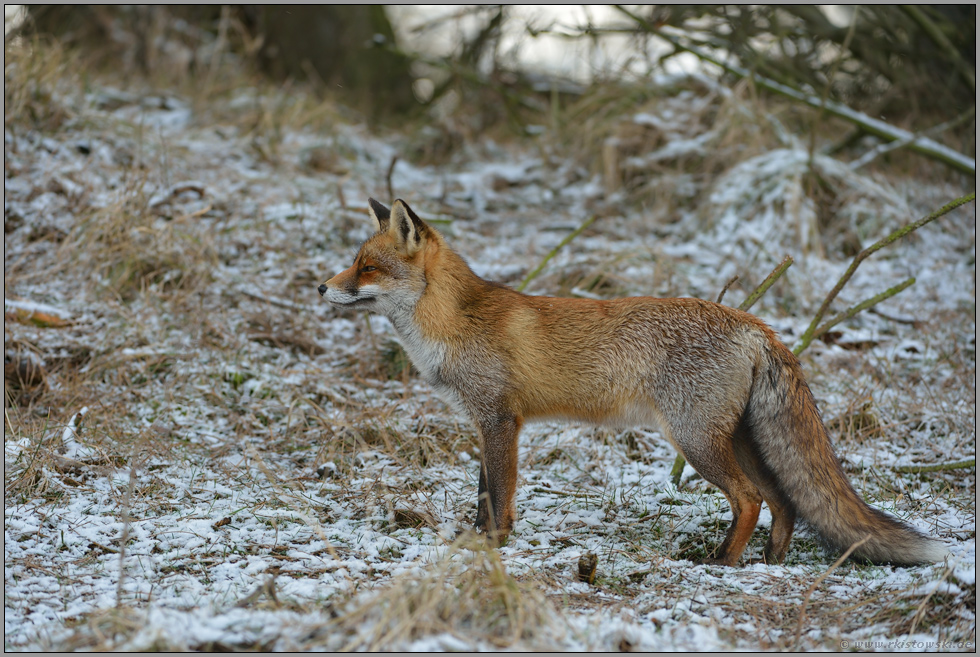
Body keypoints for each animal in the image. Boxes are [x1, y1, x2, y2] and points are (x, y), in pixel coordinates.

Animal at [318, 199, 944, 564]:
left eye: (367, 267)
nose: (322, 287)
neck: (453, 322)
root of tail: (755, 323)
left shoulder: (500, 421)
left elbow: (499, 496)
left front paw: (494, 549)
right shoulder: (489, 422)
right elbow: (484, 496)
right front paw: (477, 542)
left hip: (695, 441)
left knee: (749, 499)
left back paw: (719, 564)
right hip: (736, 438)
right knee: (781, 500)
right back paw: (767, 562)